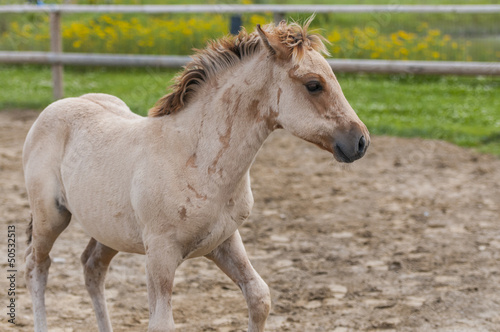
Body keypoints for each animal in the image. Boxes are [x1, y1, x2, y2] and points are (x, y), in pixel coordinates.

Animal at [24, 19, 368, 330]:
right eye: (314, 84)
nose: (361, 141)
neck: (197, 161)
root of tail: (55, 107)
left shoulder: (225, 240)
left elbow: (259, 296)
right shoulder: (161, 253)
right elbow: (162, 323)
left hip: (108, 229)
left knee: (92, 268)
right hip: (50, 218)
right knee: (36, 268)